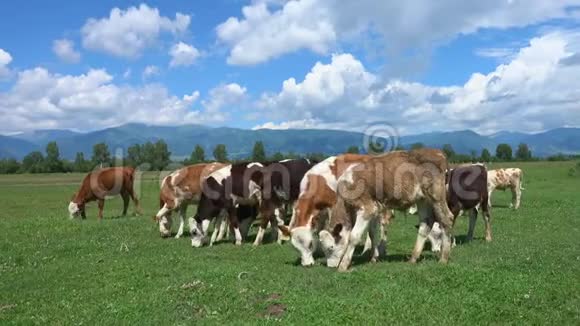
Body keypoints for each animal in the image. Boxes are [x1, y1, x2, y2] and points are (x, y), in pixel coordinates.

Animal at [320, 149, 456, 272]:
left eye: (330, 247)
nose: (331, 266)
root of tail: (437, 152)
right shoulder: (373, 210)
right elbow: (372, 233)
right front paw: (373, 258)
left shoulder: (367, 208)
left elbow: (354, 236)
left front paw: (343, 265)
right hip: (422, 199)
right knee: (426, 223)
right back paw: (413, 258)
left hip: (436, 195)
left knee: (447, 219)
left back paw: (443, 258)